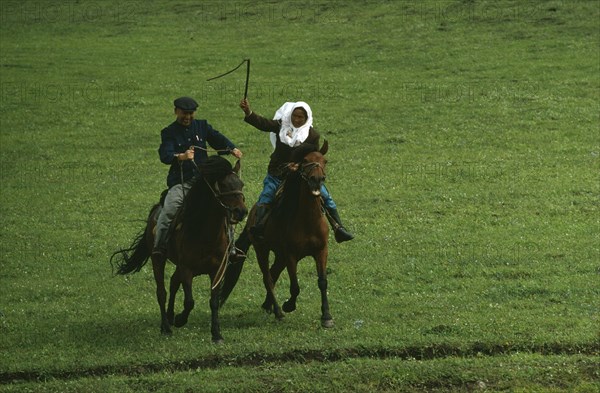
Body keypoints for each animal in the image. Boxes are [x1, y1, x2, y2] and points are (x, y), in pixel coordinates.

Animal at [110, 155, 246, 342]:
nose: (241, 212)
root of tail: (156, 210)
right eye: (224, 185)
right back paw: (166, 326)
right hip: (158, 260)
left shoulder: (217, 270)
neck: (205, 232)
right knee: (162, 292)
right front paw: (181, 319)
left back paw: (170, 316)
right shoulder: (186, 268)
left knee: (174, 282)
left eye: (241, 184)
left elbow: (213, 302)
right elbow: (189, 301)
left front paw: (216, 334)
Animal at [221, 141, 336, 328]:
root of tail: (251, 215)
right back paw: (278, 311)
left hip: (280, 255)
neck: (308, 221)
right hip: (263, 251)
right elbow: (295, 286)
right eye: (305, 161)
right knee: (268, 278)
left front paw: (326, 316)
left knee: (273, 274)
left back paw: (267, 305)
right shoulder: (291, 255)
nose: (317, 180)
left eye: (324, 161)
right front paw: (289, 305)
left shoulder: (321, 251)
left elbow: (322, 282)